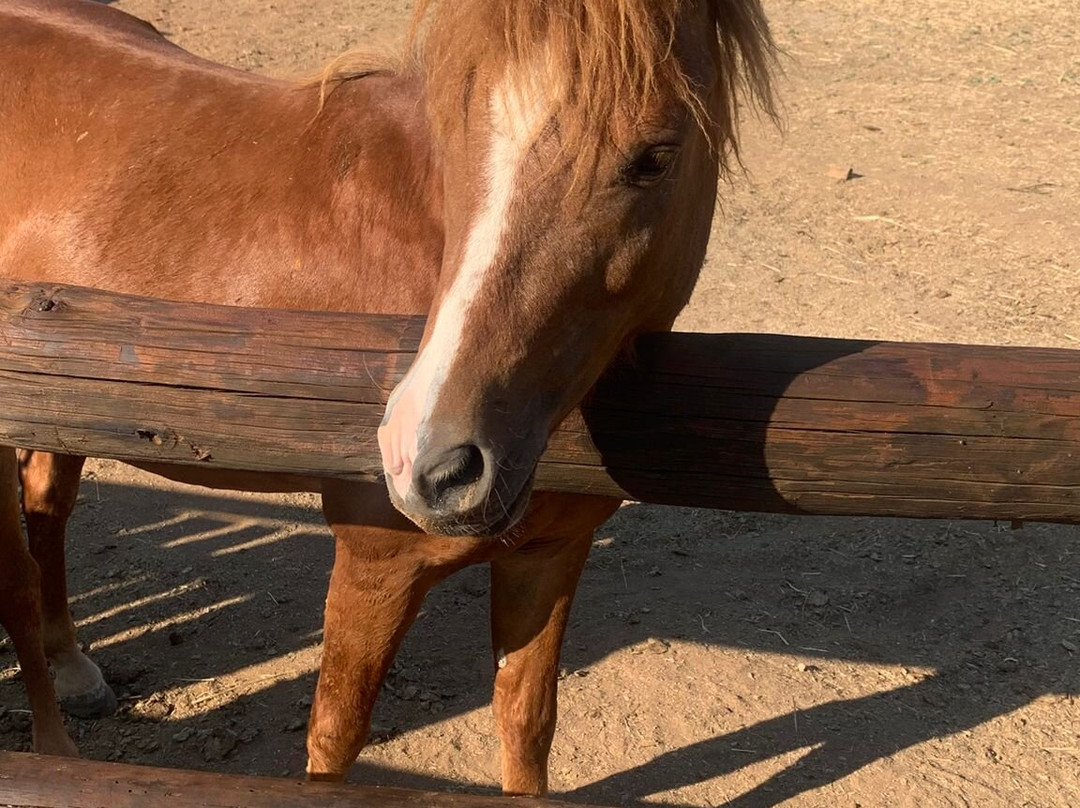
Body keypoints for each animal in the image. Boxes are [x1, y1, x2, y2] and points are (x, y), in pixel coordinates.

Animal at [0, 0, 775, 794]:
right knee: (16, 585)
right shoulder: (377, 566)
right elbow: (336, 738)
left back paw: (75, 669)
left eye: (655, 156)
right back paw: (57, 747)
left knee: (47, 508)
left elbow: (527, 726)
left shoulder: (551, 555)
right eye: (460, 134)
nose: (435, 464)